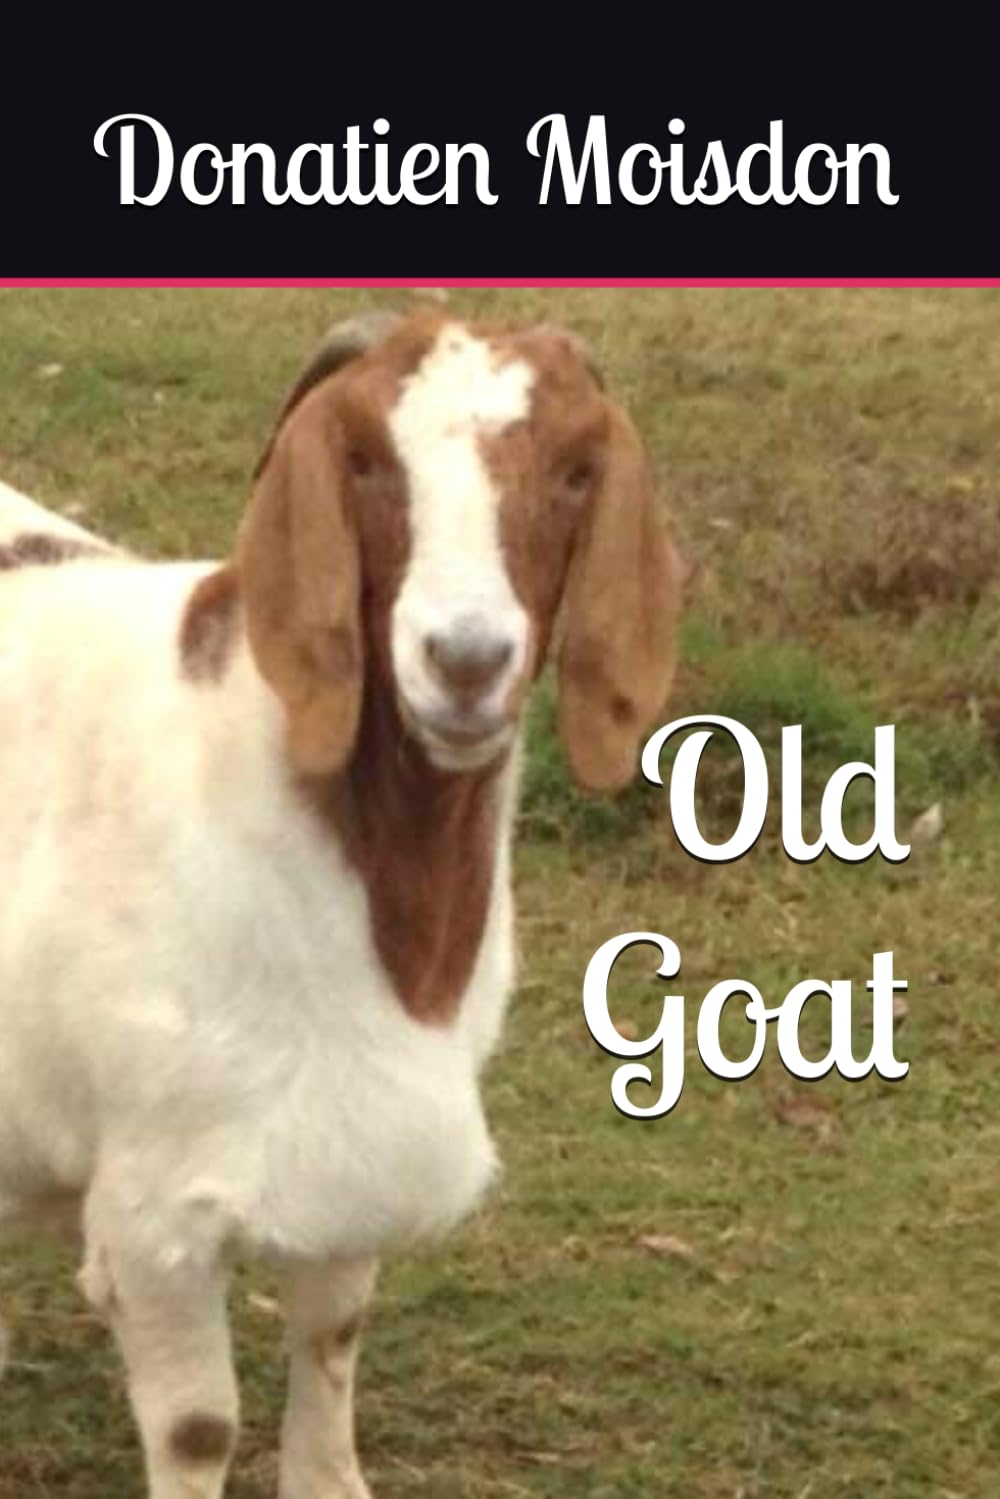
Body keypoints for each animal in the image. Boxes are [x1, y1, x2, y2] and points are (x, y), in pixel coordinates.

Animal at [0, 310, 681, 1498]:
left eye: (575, 469)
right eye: (363, 459)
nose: (466, 661)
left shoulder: (351, 1152)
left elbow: (331, 1334)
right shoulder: (156, 1209)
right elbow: (199, 1427)